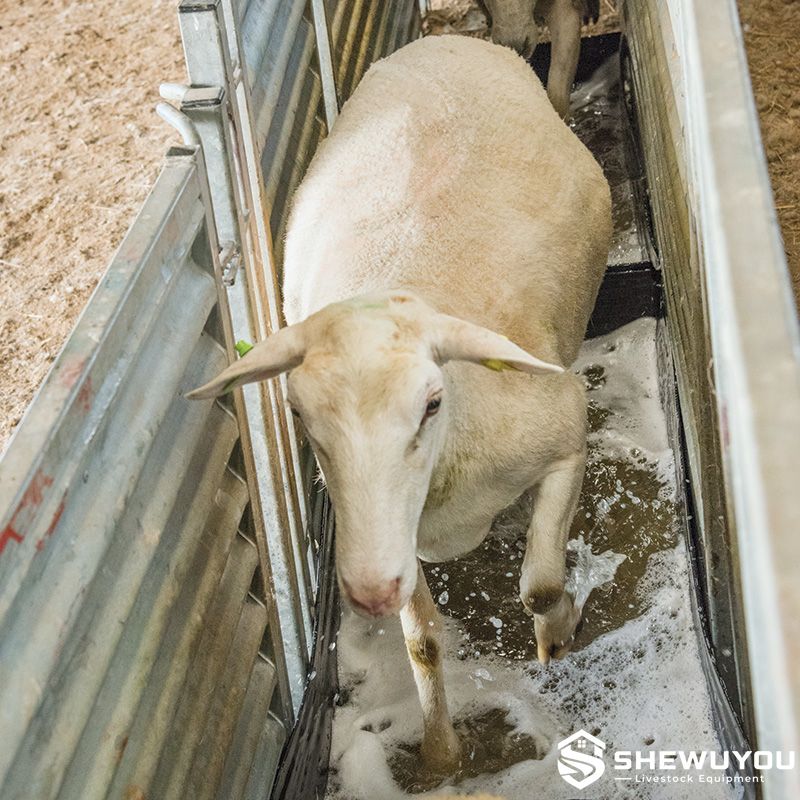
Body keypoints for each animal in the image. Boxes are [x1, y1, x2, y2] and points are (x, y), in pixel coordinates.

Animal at [189, 34, 611, 774]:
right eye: (299, 417)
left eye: (432, 404)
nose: (365, 593)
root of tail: (443, 37)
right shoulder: (394, 534)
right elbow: (423, 644)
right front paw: (442, 755)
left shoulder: (565, 435)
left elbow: (539, 584)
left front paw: (556, 634)